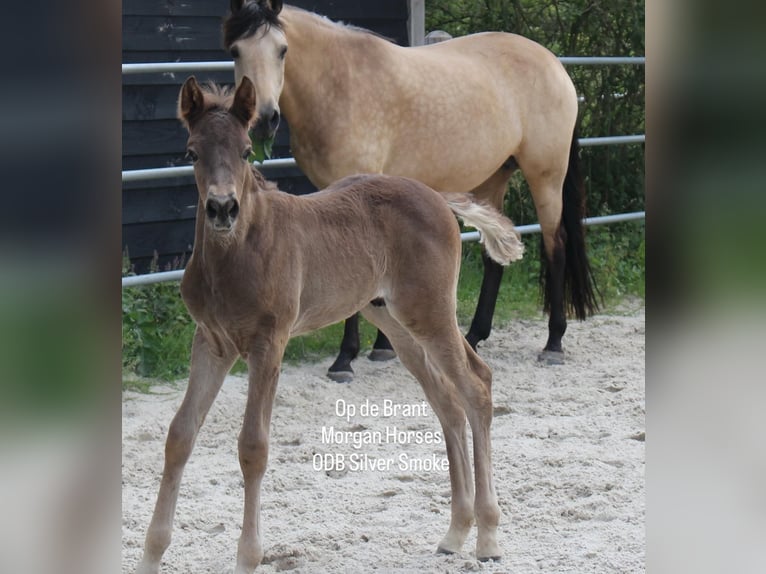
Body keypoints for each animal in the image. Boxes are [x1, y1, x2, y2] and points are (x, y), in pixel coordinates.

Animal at [134, 76, 524, 573]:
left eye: (245, 151)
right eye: (191, 152)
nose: (222, 209)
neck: (238, 251)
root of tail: (436, 195)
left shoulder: (269, 342)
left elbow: (253, 446)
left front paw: (249, 557)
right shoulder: (212, 343)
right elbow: (180, 435)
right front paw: (151, 555)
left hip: (429, 312)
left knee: (475, 385)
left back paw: (488, 536)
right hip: (394, 322)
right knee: (447, 403)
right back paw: (455, 532)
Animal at [223, 0, 600, 381]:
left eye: (282, 50)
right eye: (235, 51)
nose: (264, 119)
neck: (341, 83)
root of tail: (553, 63)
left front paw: (346, 358)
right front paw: (382, 347)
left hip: (546, 176)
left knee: (556, 246)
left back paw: (553, 343)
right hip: (492, 180)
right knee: (495, 256)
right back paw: (474, 336)